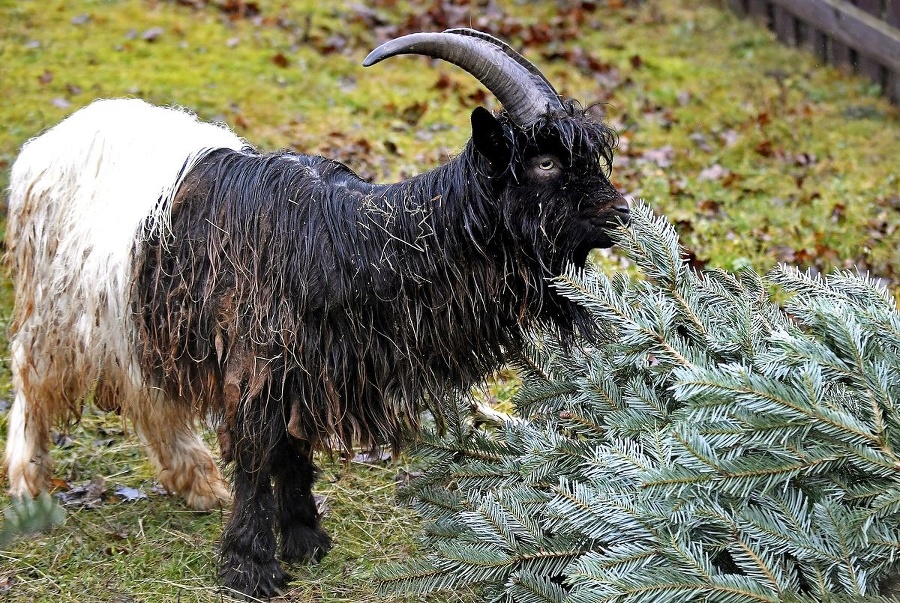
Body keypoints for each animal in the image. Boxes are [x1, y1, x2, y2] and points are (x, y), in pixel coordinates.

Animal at [5, 29, 624, 600]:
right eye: (545, 161)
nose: (620, 215)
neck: (358, 240)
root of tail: (44, 146)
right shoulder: (259, 361)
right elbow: (259, 454)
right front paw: (250, 566)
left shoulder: (308, 368)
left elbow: (294, 449)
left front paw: (305, 538)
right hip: (61, 309)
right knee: (31, 374)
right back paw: (31, 485)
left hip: (135, 319)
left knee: (147, 395)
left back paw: (197, 482)